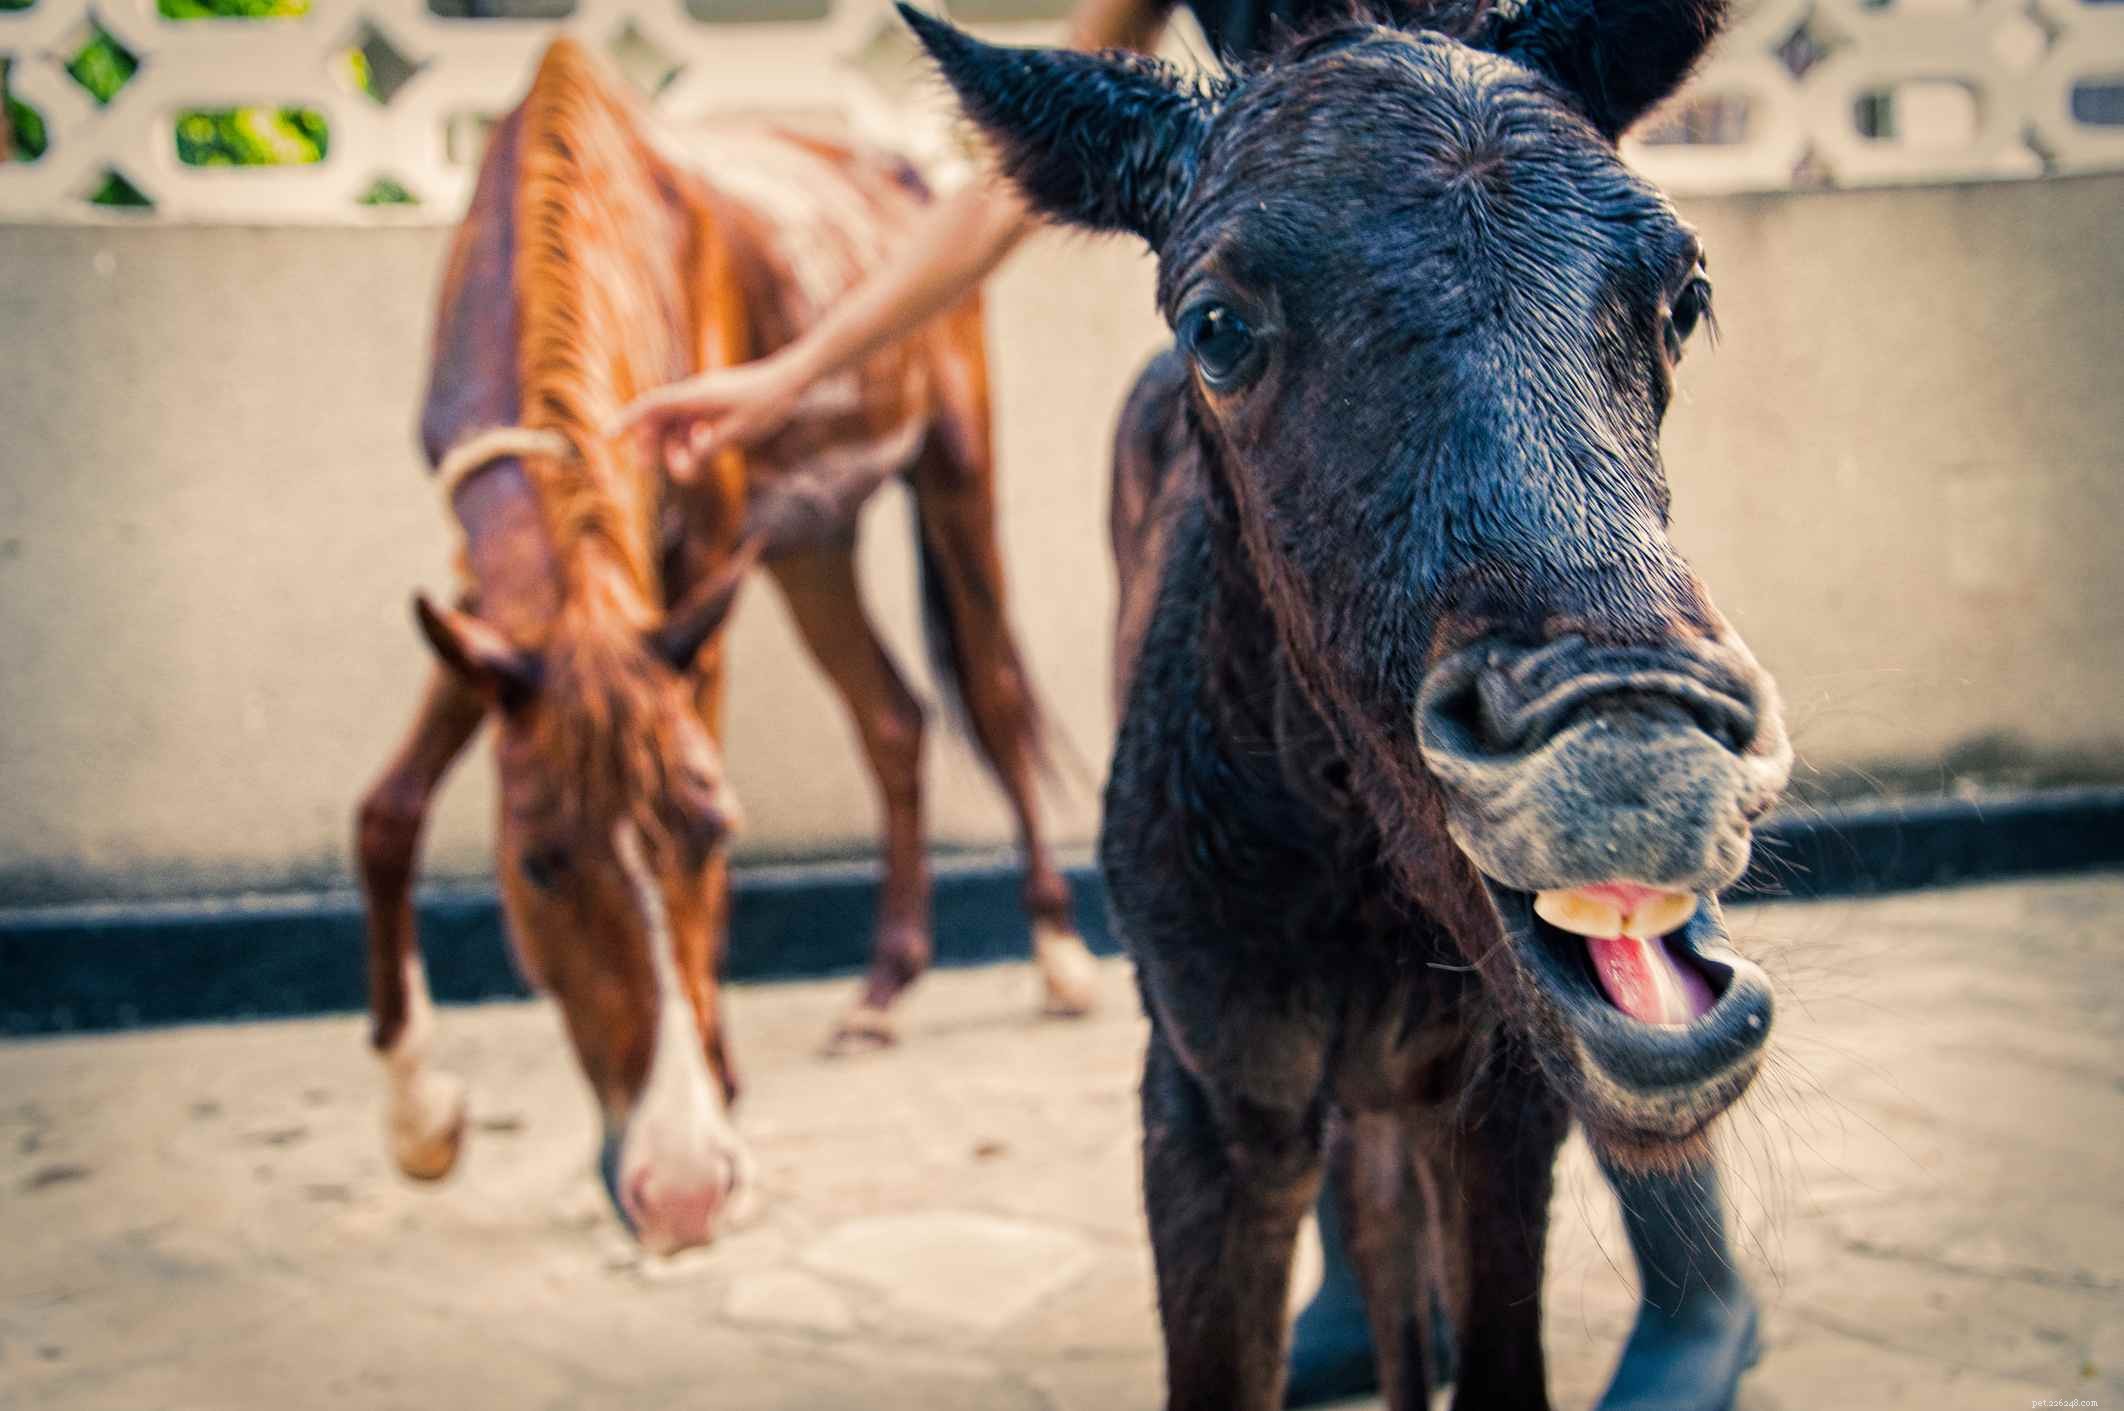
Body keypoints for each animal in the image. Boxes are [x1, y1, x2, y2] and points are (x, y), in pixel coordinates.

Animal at [352, 37, 1098, 1256]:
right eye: (537, 863)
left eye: (715, 834)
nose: (683, 1187)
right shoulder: (494, 607)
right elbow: (386, 813)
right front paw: (421, 1117)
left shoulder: (697, 565)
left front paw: (720, 1094)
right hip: (810, 541)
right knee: (894, 716)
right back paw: (881, 992)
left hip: (952, 469)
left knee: (989, 688)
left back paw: (1062, 956)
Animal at [904, 4, 1794, 1406]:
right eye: (1217, 325)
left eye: (1684, 294)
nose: (1631, 755)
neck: (1348, 865)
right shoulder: (1211, 1089)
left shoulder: (1498, 1089)